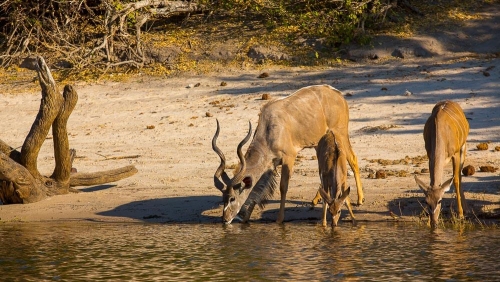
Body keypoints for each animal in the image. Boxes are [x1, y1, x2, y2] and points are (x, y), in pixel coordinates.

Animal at [211, 84, 364, 225]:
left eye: (232, 198)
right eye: (223, 198)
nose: (225, 219)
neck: (270, 129)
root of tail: (337, 93)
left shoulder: (289, 157)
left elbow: (283, 187)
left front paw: (279, 219)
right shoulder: (270, 164)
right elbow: (258, 188)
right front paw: (245, 219)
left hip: (340, 133)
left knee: (353, 158)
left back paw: (360, 199)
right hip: (319, 143)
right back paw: (316, 199)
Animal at [414, 99, 468, 227]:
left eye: (440, 200)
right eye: (426, 201)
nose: (434, 221)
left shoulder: (455, 154)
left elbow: (456, 180)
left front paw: (460, 214)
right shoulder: (430, 155)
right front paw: (428, 222)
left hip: (463, 147)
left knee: (459, 176)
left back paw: (465, 209)